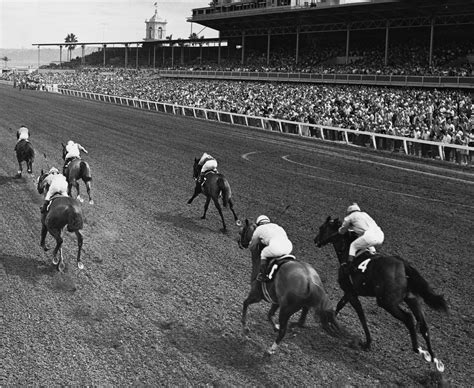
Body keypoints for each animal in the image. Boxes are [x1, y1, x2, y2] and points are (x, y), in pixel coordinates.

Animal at [239, 218, 342, 354]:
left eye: (242, 231)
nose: (240, 243)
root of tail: (310, 281)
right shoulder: (276, 301)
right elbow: (269, 315)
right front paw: (274, 326)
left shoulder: (257, 295)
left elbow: (245, 304)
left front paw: (245, 329)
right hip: (303, 306)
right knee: (301, 322)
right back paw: (291, 326)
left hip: (286, 310)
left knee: (284, 331)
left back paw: (270, 350)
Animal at [314, 217, 448, 372]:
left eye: (321, 228)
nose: (315, 240)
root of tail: (403, 264)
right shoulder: (350, 292)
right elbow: (340, 305)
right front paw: (328, 321)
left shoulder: (351, 293)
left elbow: (361, 316)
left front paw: (367, 343)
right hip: (411, 299)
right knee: (423, 325)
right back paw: (434, 359)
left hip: (386, 302)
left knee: (409, 319)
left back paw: (419, 349)